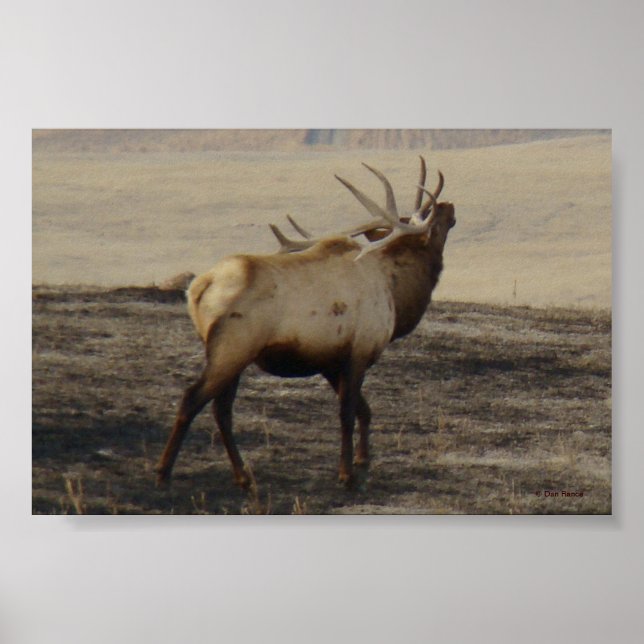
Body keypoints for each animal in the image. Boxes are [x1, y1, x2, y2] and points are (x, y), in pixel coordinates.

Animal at [156, 157, 456, 488]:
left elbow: (364, 410)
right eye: (434, 221)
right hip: (232, 349)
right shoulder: (359, 351)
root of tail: (198, 287)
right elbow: (347, 413)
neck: (397, 292)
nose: (449, 205)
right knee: (193, 399)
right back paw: (164, 472)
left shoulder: (329, 361)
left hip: (227, 354)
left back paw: (243, 475)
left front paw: (363, 460)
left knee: (221, 409)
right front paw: (346, 473)